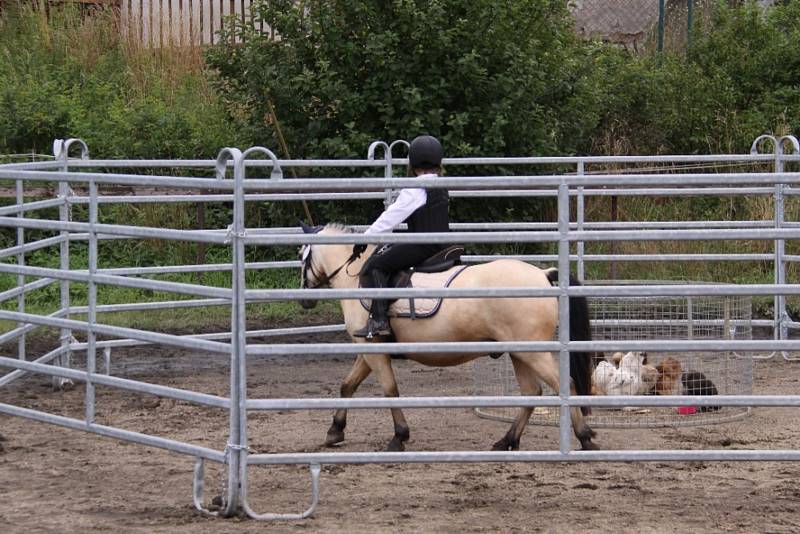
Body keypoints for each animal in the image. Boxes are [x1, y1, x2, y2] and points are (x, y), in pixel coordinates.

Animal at [296, 222, 596, 452]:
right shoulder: (368, 348)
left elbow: (390, 390)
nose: (304, 300)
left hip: (532, 350)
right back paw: (506, 440)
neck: (357, 278)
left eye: (302, 257)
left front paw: (399, 436)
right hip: (520, 352)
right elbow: (347, 386)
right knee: (531, 392)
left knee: (563, 384)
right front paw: (335, 431)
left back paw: (584, 438)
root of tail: (543, 274)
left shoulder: (374, 351)